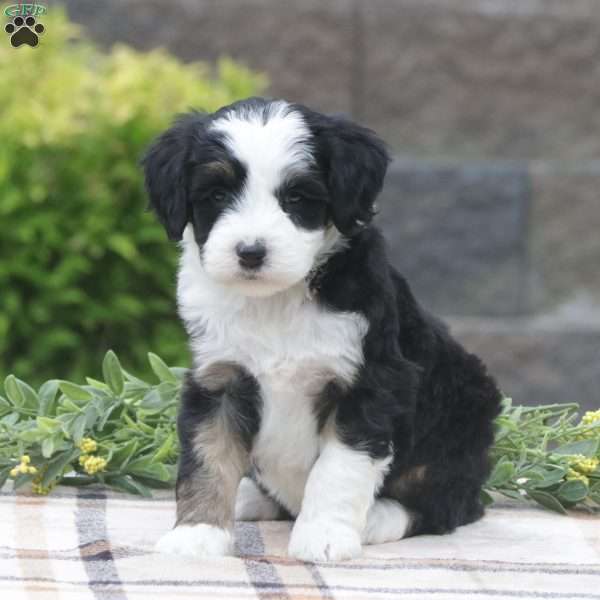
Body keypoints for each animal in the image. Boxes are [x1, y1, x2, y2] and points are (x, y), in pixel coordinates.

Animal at [143, 98, 504, 564]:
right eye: (217, 195)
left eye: (296, 197)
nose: (251, 253)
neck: (274, 301)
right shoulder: (218, 380)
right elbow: (207, 457)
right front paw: (197, 534)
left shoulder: (369, 383)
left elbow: (338, 470)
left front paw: (324, 537)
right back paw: (248, 497)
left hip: (462, 417)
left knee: (447, 502)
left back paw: (378, 518)